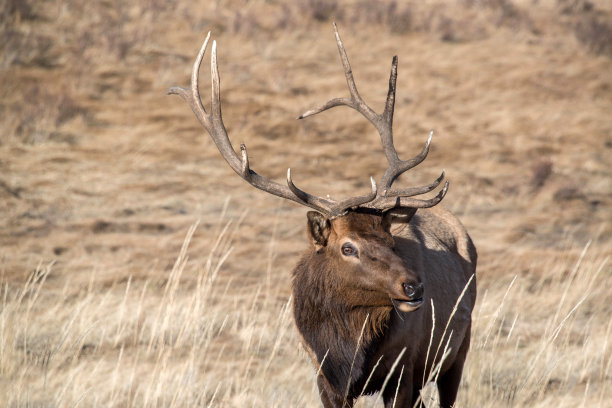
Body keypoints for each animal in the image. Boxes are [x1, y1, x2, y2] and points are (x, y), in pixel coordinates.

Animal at [170, 24, 476, 408]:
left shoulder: (403, 371)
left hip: (457, 351)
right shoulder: (323, 376)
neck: (347, 354)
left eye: (391, 241)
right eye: (347, 247)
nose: (413, 286)